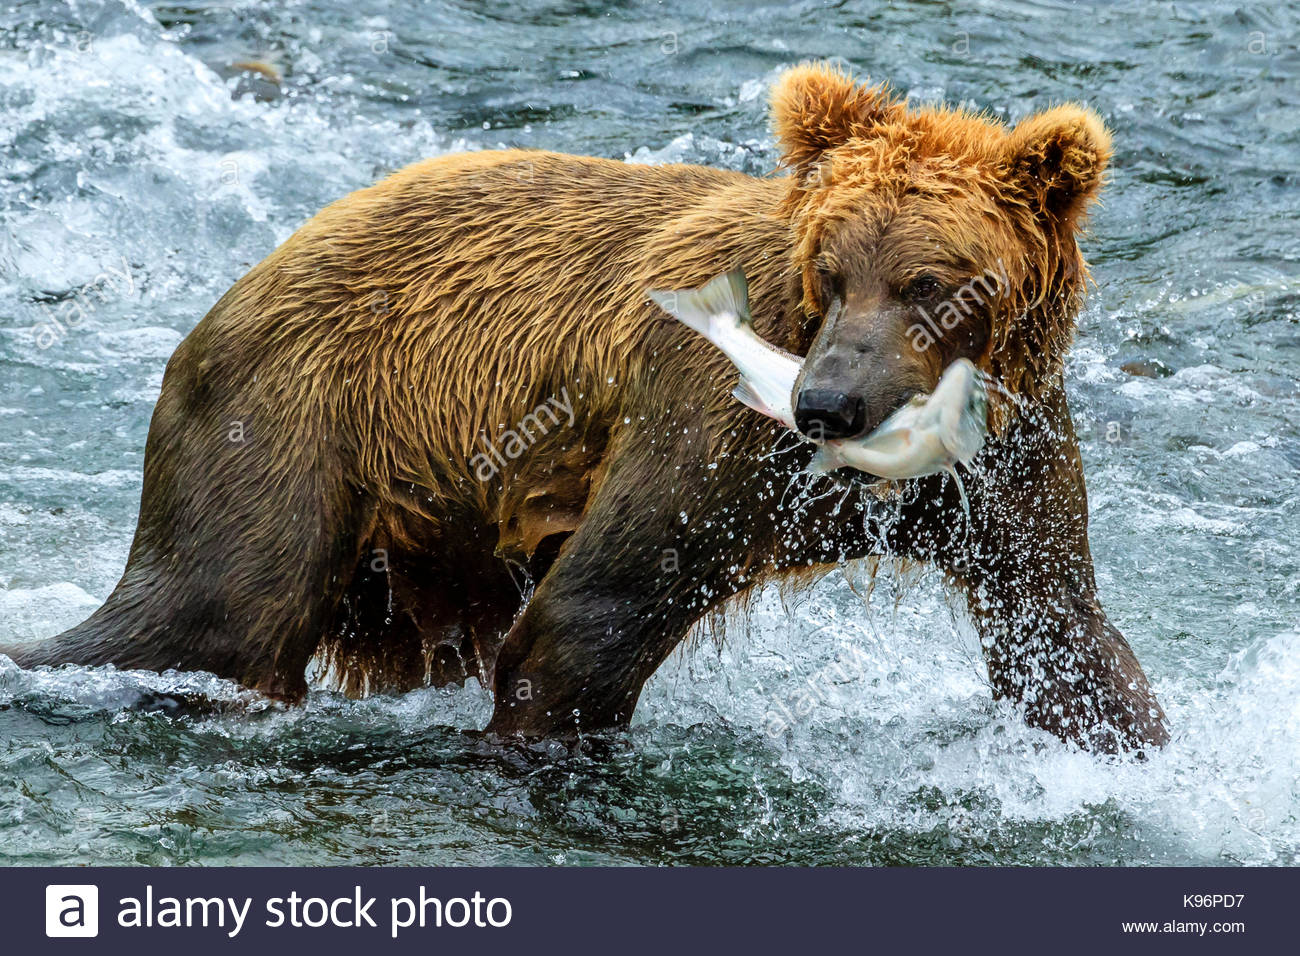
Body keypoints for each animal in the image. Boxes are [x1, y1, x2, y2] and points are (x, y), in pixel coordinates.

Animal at [7, 63, 1170, 754]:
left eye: (927, 282)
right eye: (831, 269)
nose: (828, 402)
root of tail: (229, 293)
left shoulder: (1002, 467)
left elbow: (1059, 631)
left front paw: (1130, 742)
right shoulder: (711, 431)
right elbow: (593, 613)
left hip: (427, 539)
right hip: (298, 420)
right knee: (210, 606)